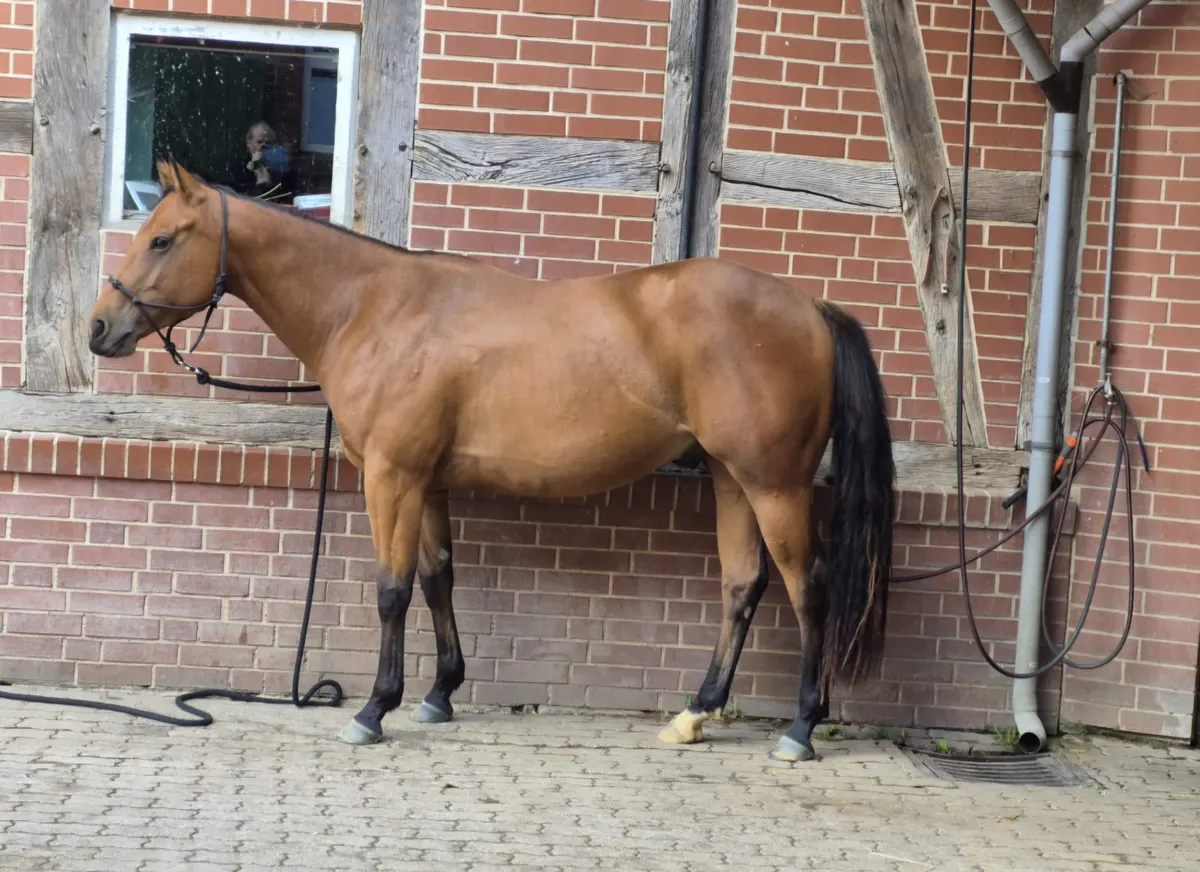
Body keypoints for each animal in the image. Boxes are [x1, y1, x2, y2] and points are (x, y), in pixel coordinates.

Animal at [88, 160, 895, 763]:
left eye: (163, 239)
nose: (100, 328)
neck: (375, 309)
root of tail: (810, 308)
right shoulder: (429, 483)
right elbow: (438, 579)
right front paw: (439, 695)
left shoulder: (392, 477)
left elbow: (392, 590)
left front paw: (374, 709)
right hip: (733, 479)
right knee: (742, 586)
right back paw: (695, 713)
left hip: (774, 484)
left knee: (809, 588)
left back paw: (800, 728)